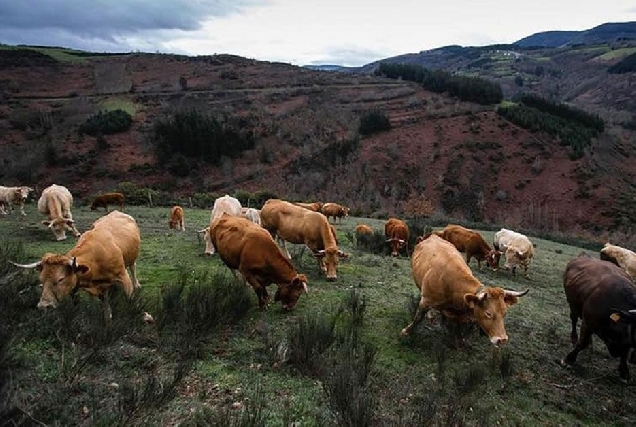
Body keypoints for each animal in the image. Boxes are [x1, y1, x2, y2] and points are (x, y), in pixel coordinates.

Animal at [11, 211, 142, 320]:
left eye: (61, 279)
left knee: (133, 267)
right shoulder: (95, 288)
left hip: (132, 259)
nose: (44, 305)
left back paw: (137, 284)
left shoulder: (124, 278)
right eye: (41, 279)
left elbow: (129, 301)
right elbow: (105, 310)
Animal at [400, 234, 528, 348]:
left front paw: (459, 342)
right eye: (488, 313)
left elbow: (458, 329)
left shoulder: (460, 315)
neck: (451, 284)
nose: (502, 339)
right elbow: (418, 318)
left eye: (504, 313)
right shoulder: (425, 301)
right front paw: (406, 331)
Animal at [560, 252, 636, 380]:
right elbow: (582, 342)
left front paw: (624, 371)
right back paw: (574, 338)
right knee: (574, 320)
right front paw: (569, 359)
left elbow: (624, 352)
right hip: (572, 304)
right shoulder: (588, 322)